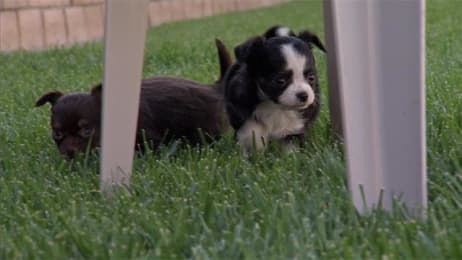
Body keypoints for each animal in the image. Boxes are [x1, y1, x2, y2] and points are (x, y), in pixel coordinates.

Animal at [36, 40, 233, 158]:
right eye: (57, 133)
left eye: (87, 131)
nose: (70, 153)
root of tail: (214, 87)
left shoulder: (148, 135)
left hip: (203, 129)